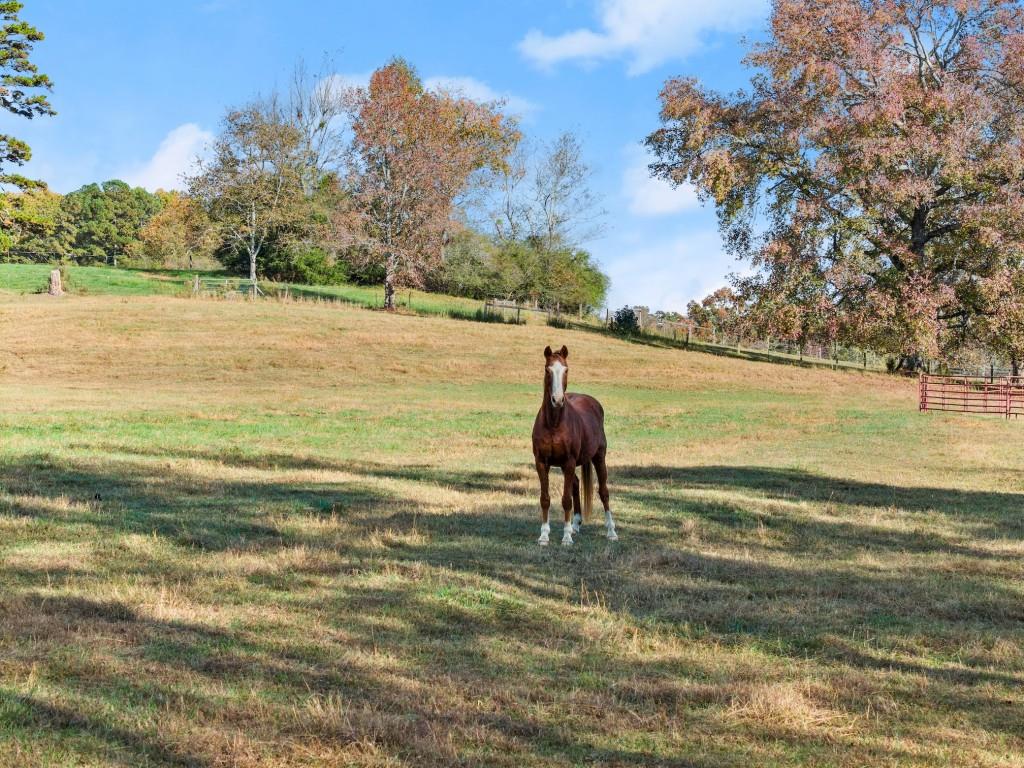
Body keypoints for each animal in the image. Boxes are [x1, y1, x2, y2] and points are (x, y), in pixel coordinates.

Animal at [536, 342, 614, 548]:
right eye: (547, 369)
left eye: (566, 369)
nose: (557, 399)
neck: (554, 424)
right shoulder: (541, 463)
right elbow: (545, 499)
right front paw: (544, 535)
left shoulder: (569, 462)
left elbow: (566, 500)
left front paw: (566, 537)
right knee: (576, 484)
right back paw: (576, 524)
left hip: (599, 457)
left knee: (604, 492)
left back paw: (611, 531)